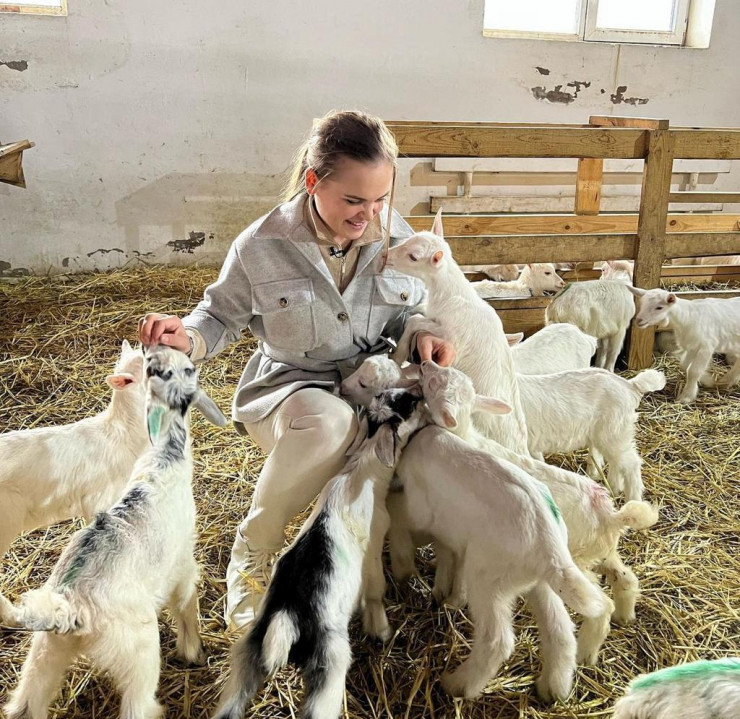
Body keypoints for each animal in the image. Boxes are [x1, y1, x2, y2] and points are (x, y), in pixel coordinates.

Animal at [212, 387, 427, 719]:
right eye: (410, 404)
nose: (421, 393)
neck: (360, 472)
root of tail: (286, 615)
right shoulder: (374, 545)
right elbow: (376, 589)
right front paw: (380, 629)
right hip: (331, 662)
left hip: (249, 651)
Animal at [385, 209, 530, 455]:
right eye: (408, 239)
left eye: (413, 257)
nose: (386, 256)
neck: (451, 295)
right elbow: (416, 314)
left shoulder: (452, 334)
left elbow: (414, 321)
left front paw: (398, 354)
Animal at [390, 417, 611, 700]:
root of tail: (550, 551)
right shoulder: (453, 535)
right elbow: (448, 558)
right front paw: (446, 595)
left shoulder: (421, 512)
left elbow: (397, 519)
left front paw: (405, 571)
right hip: (538, 583)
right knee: (561, 631)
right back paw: (553, 690)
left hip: (488, 579)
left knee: (496, 641)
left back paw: (456, 684)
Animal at [518, 367, 666, 500]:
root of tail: (630, 385)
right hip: (610, 434)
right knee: (616, 462)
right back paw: (612, 488)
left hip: (614, 432)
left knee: (631, 464)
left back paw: (633, 501)